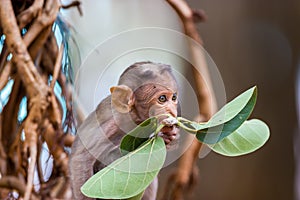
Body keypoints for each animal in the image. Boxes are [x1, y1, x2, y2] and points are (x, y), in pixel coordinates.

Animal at [69, 61, 179, 199]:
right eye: (162, 98)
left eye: (174, 98)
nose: (172, 112)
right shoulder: (113, 123)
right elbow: (82, 157)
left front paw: (169, 136)